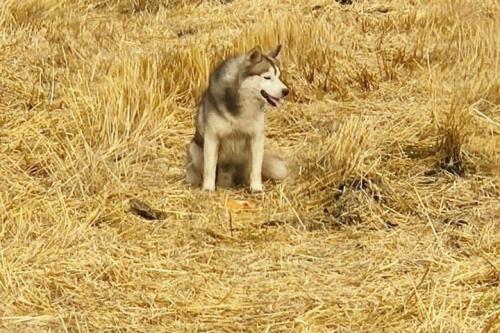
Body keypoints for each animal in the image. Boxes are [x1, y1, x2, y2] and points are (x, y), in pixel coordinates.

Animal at [187, 44, 290, 192]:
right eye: (267, 77)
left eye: (278, 77)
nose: (286, 91)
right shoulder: (212, 137)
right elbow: (209, 169)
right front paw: (208, 188)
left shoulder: (256, 138)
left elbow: (256, 169)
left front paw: (256, 188)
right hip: (194, 148)